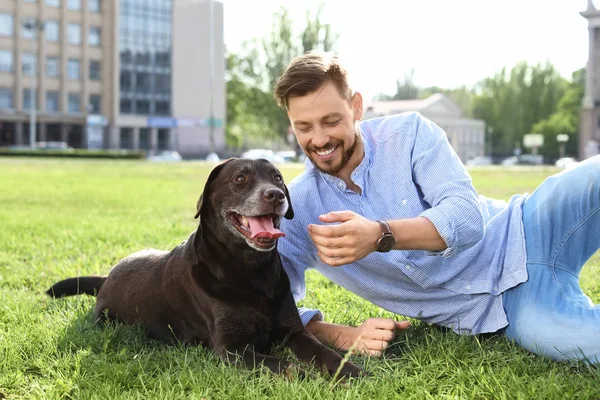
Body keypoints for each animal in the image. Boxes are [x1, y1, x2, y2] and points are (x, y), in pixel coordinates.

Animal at [47, 157, 360, 378]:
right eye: (240, 178)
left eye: (277, 178)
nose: (276, 195)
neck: (251, 272)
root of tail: (107, 276)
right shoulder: (231, 350)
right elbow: (287, 366)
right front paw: (312, 378)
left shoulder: (294, 332)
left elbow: (326, 353)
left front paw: (349, 372)